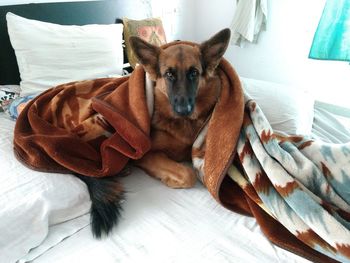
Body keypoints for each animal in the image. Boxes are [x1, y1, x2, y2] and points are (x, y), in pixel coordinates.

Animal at [80, 28, 231, 239]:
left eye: (194, 73)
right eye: (169, 74)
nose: (184, 110)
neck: (181, 123)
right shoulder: (144, 153)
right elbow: (187, 174)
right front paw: (172, 179)